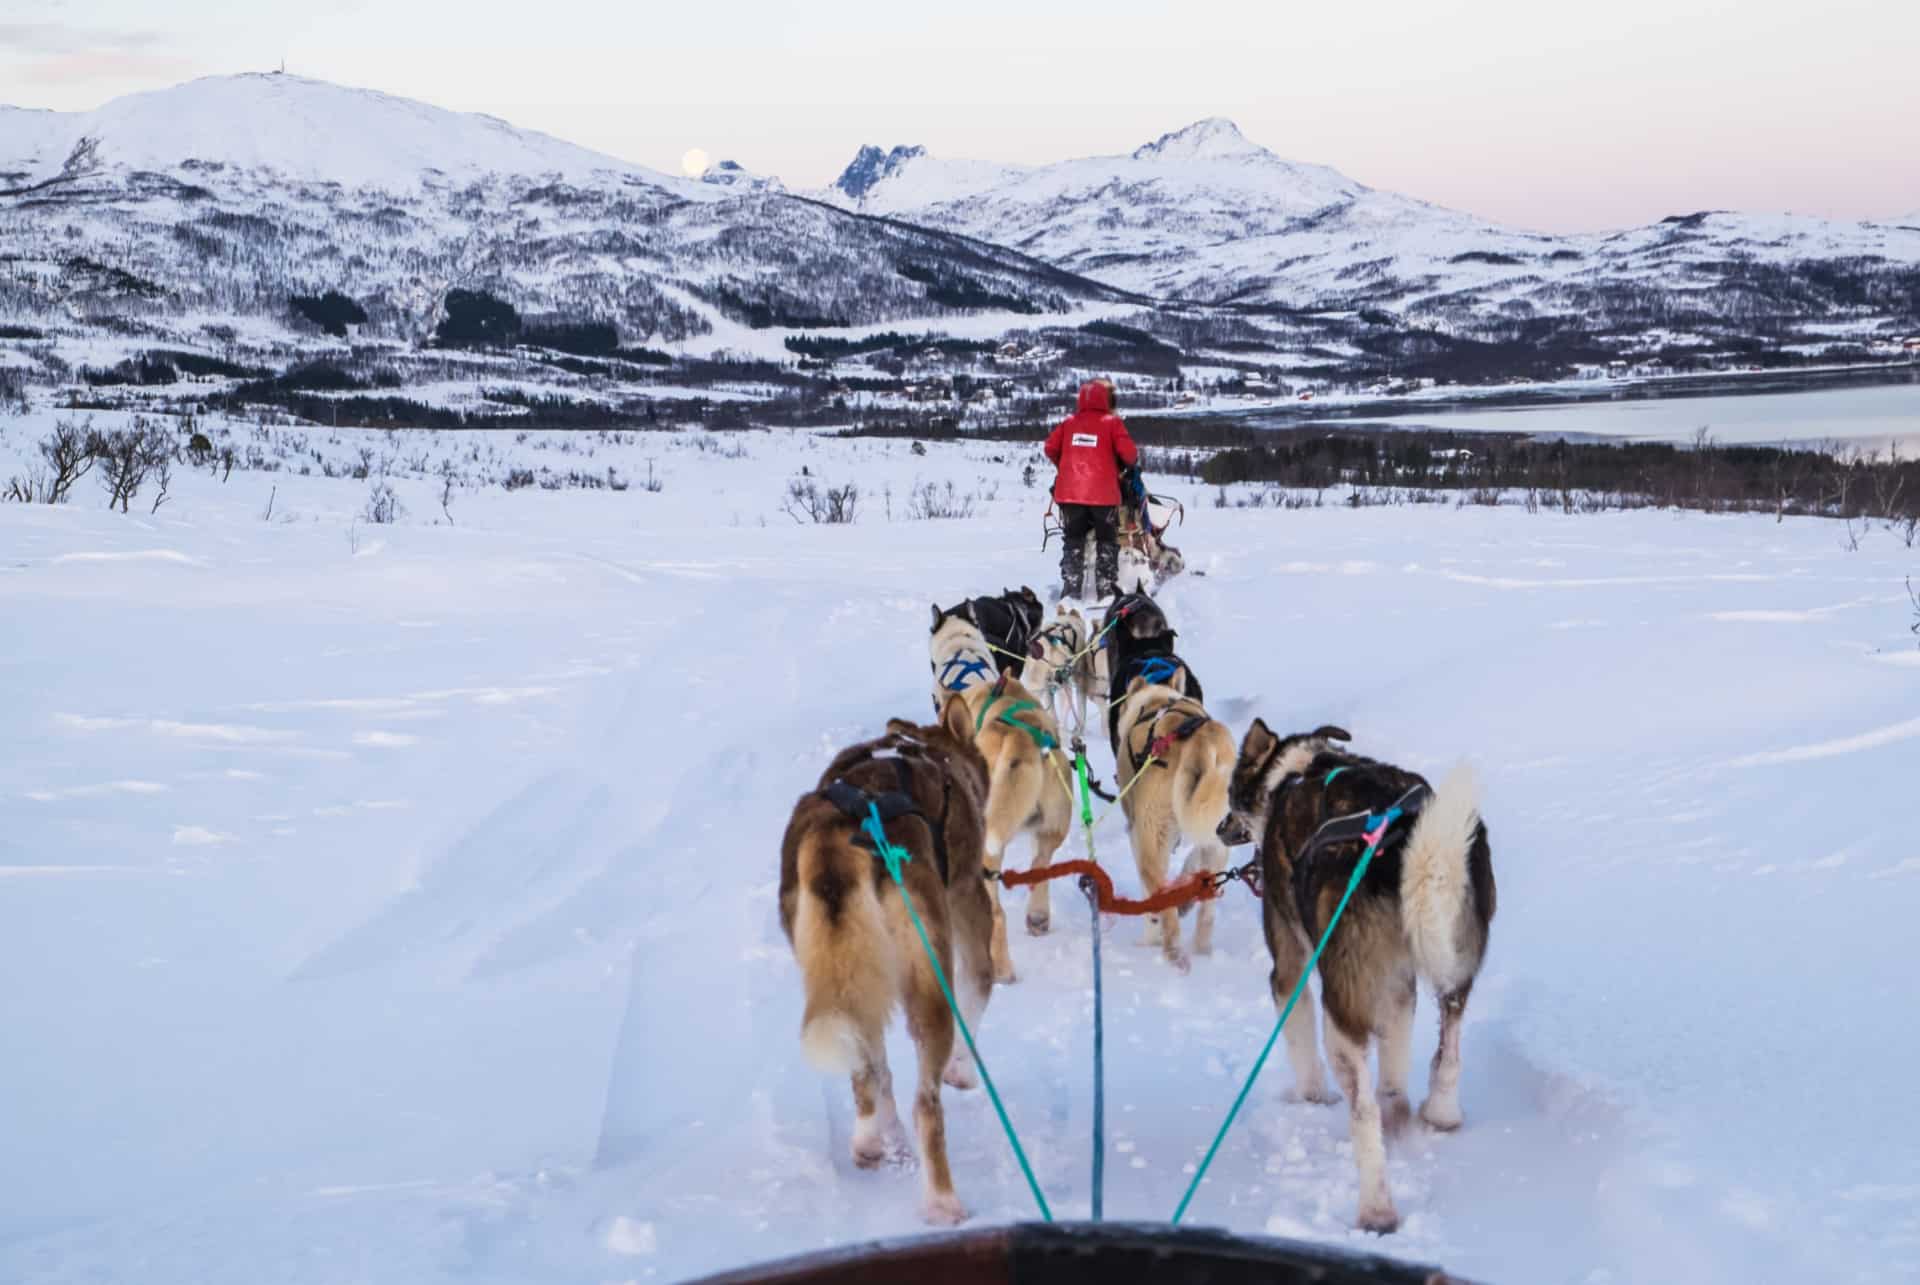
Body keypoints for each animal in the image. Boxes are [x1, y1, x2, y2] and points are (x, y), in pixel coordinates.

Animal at [779, 695, 998, 1229]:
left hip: (850, 971)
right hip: (928, 976)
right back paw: (942, 1202)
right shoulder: (969, 898)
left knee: (868, 1067)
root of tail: (840, 833)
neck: (941, 759)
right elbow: (981, 985)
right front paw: (964, 1069)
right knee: (926, 1104)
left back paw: (876, 1138)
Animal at [960, 672, 1082, 971]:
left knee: (996, 913)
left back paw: (1001, 970)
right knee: (1041, 866)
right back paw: (1038, 917)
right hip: (1052, 829)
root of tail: (1021, 736)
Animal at [1113, 676, 1228, 968]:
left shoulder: (1137, 837)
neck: (1157, 700)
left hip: (1152, 841)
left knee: (1163, 905)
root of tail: (1199, 743)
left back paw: (1172, 952)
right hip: (1218, 836)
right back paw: (1201, 948)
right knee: (1207, 911)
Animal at [1213, 722, 1497, 1229]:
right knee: (1446, 1045)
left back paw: (1376, 1209)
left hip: (1341, 1012)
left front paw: (1310, 1097)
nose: (1219, 827)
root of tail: (1395, 844)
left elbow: (1297, 1033)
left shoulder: (1289, 965)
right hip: (1452, 959)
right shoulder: (1397, 986)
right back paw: (1437, 1113)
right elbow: (1397, 1064)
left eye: (1231, 792)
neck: (1294, 772)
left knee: (1363, 1111)